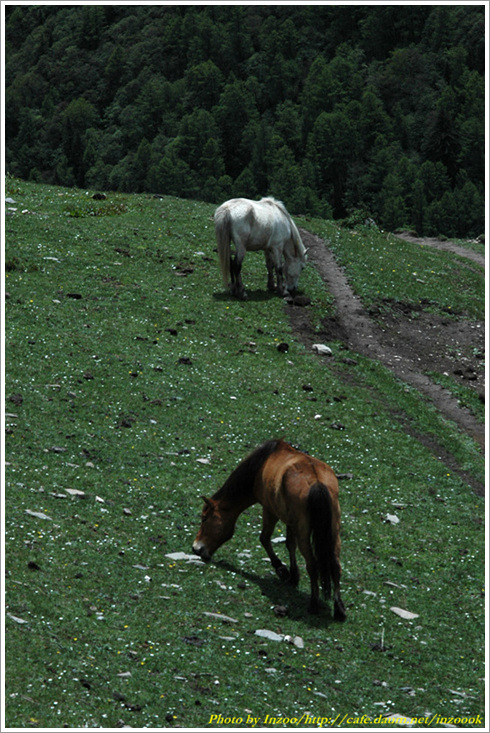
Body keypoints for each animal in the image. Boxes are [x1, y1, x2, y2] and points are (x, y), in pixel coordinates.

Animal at [191, 440, 344, 616]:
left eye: (204, 518)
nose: (196, 548)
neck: (261, 465)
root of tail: (317, 483)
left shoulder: (270, 511)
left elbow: (264, 538)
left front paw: (281, 569)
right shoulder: (290, 521)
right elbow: (290, 545)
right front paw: (293, 576)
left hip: (304, 533)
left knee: (312, 565)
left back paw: (313, 604)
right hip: (333, 531)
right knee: (336, 565)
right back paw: (339, 609)